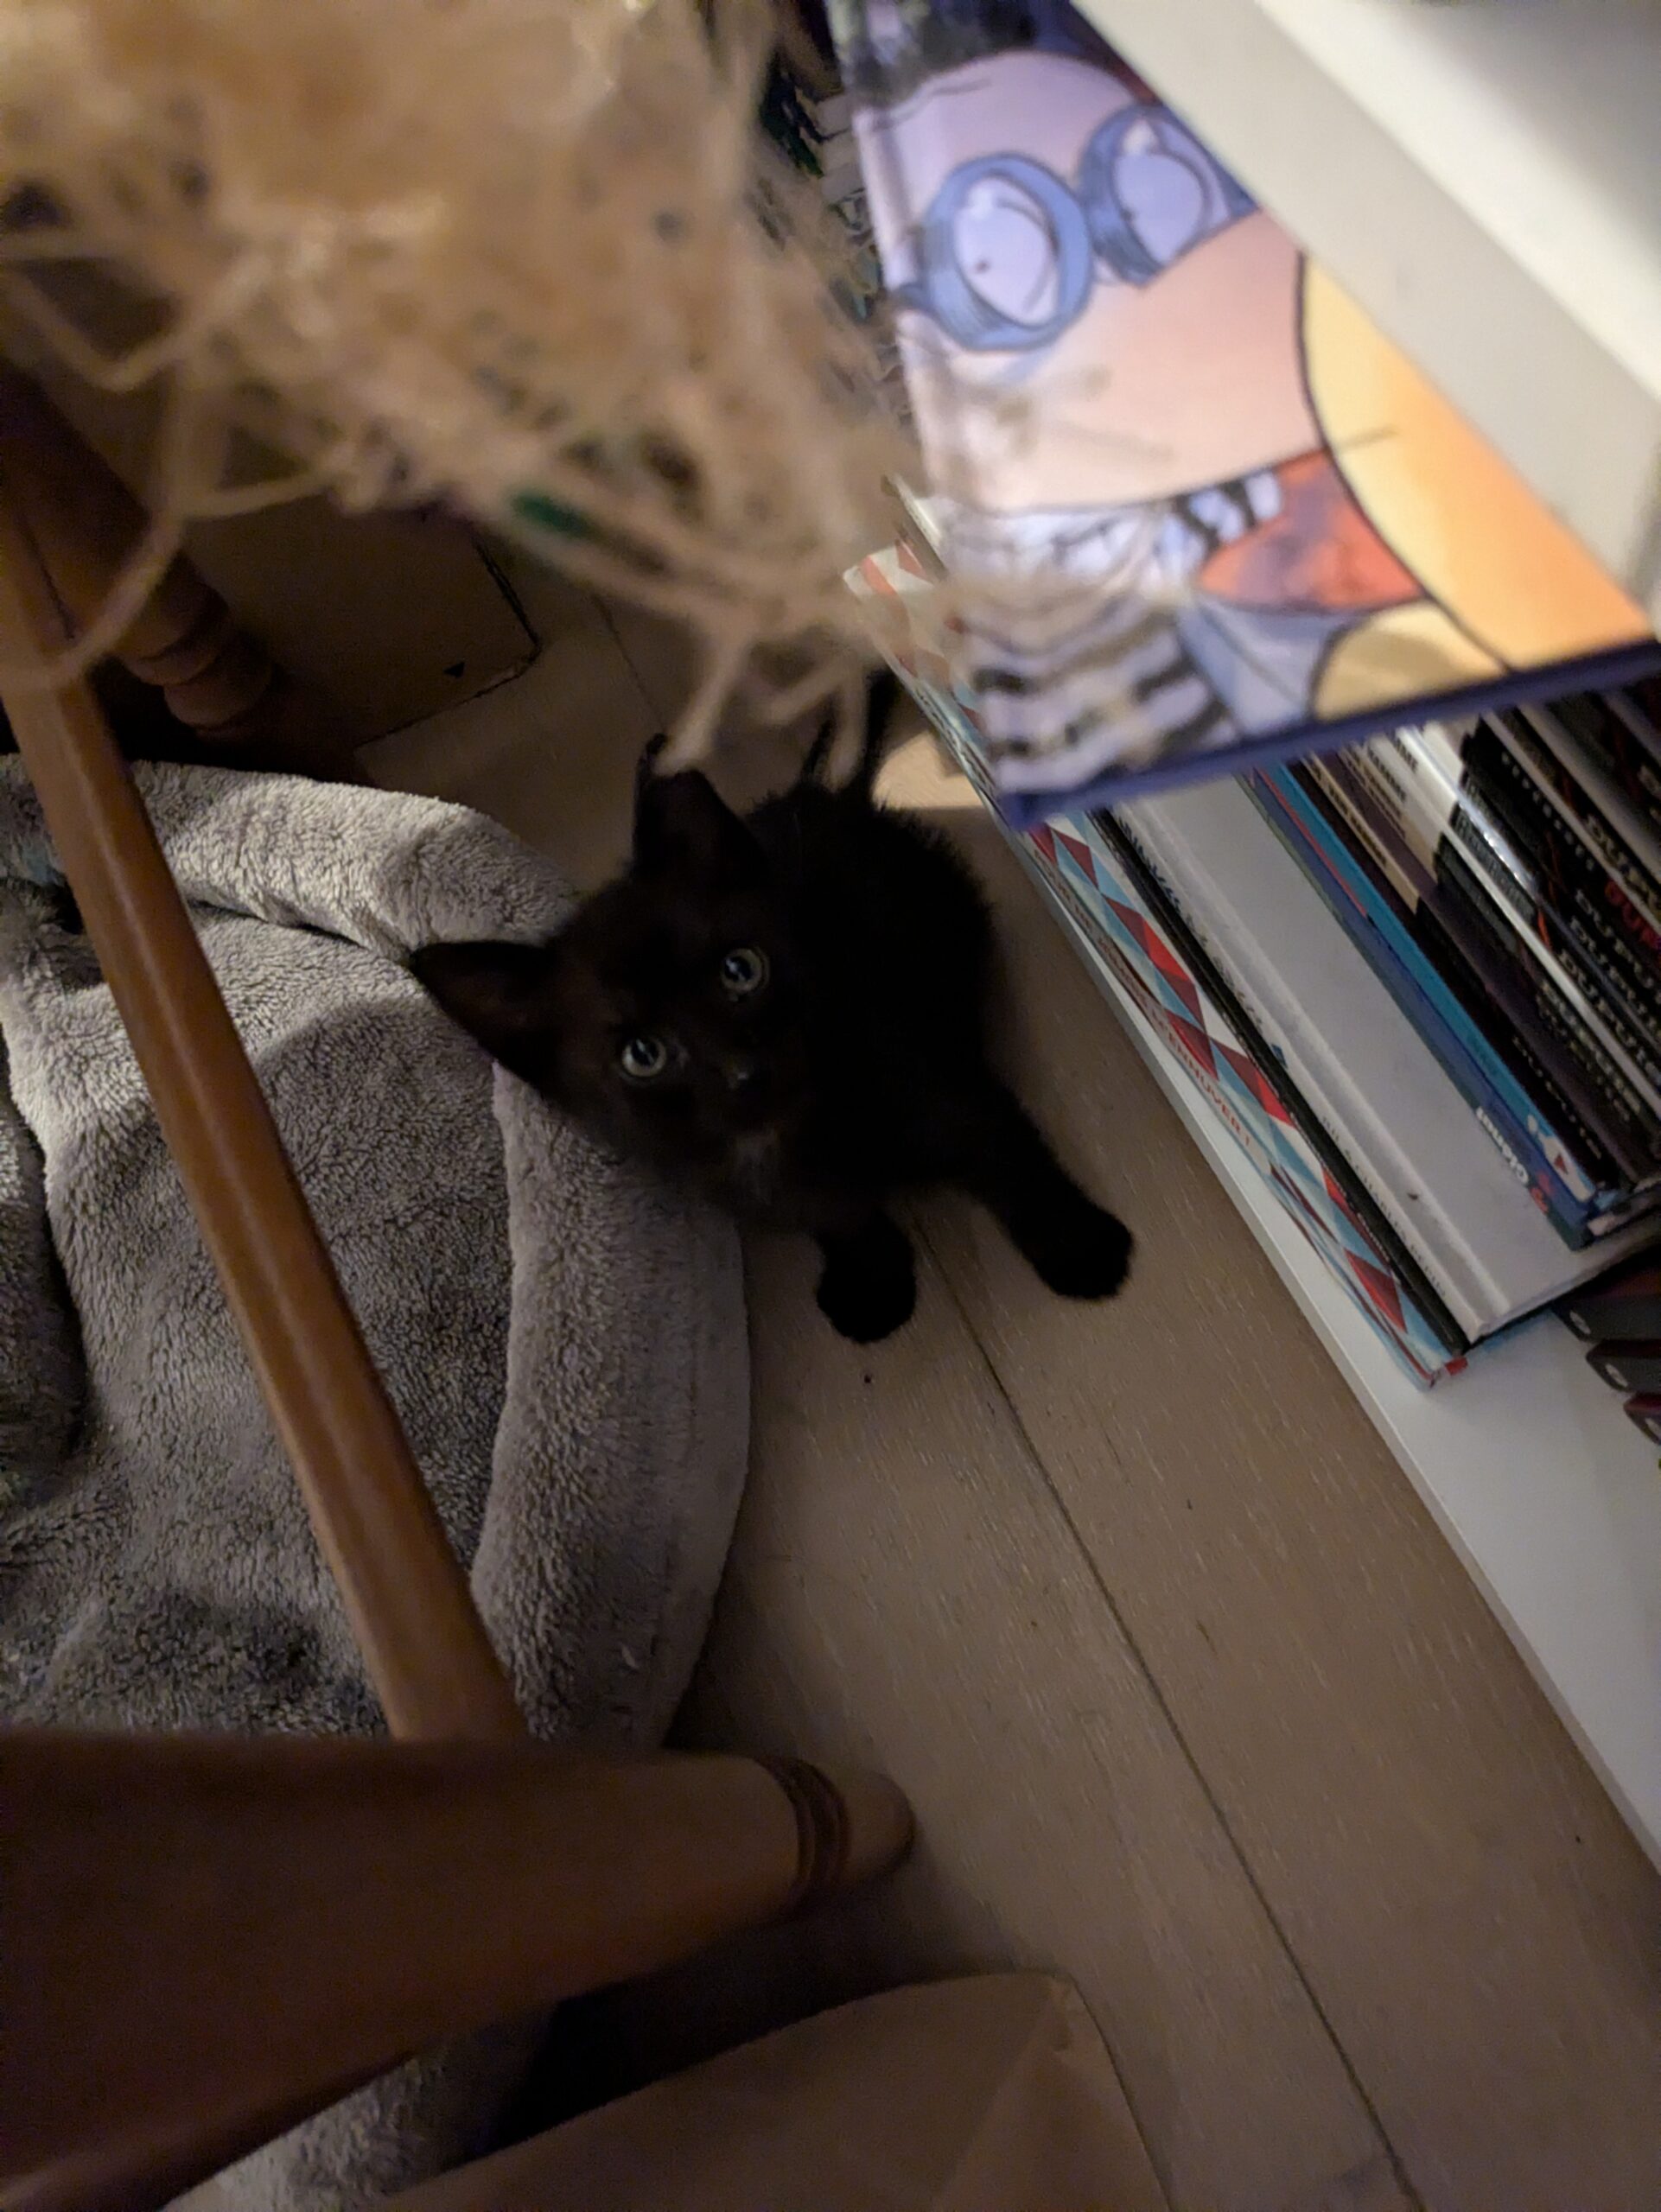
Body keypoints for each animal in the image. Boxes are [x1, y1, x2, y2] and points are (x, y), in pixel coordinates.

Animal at [411, 676, 1131, 1342]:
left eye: (741, 970)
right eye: (642, 1055)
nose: (745, 1070)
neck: (801, 1124)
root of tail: (817, 798)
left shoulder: (934, 1076)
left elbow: (1005, 1157)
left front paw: (1080, 1249)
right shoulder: (754, 1181)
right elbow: (839, 1217)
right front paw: (872, 1283)